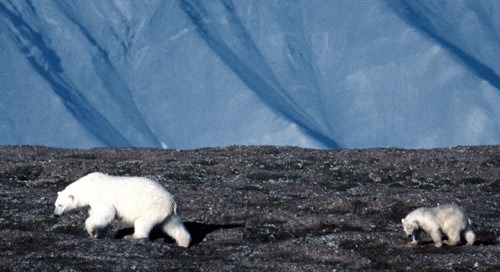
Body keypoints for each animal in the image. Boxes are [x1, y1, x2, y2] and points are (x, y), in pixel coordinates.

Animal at [53, 173, 191, 248]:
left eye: (60, 205)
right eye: (55, 204)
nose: (55, 215)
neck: (88, 187)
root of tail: (172, 202)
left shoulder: (101, 197)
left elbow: (106, 213)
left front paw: (91, 231)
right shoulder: (93, 203)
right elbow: (99, 216)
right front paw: (99, 234)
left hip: (152, 207)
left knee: (143, 222)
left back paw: (131, 236)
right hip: (170, 214)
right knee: (174, 227)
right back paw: (184, 243)